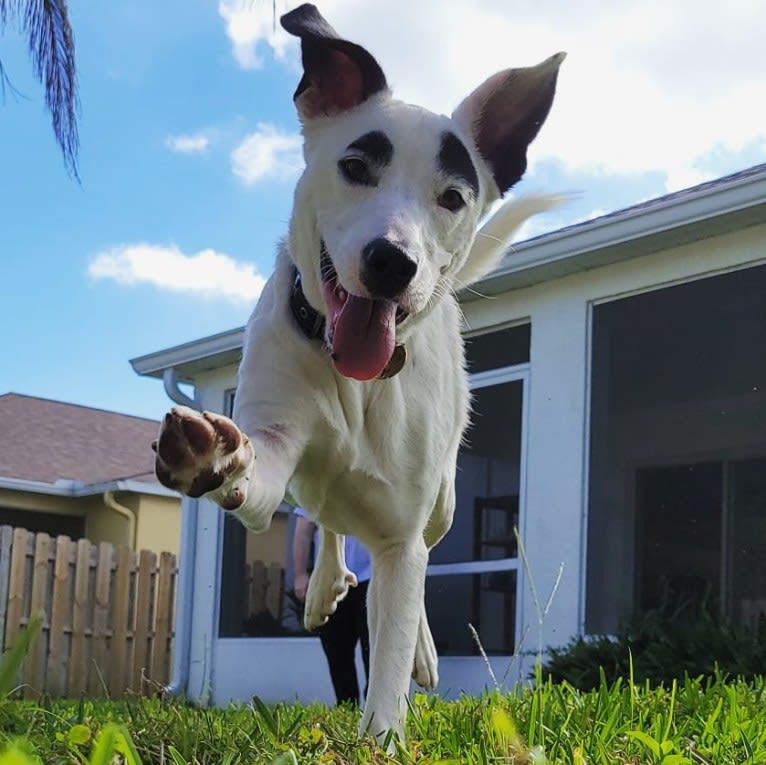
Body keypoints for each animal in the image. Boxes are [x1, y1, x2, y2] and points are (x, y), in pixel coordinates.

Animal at [154, 4, 564, 748]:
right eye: (354, 166)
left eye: (453, 197)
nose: (392, 261)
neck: (358, 378)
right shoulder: (276, 439)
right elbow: (254, 476)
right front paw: (212, 456)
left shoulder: (405, 530)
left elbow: (394, 633)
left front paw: (385, 729)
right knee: (326, 520)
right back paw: (323, 585)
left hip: (444, 501)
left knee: (412, 564)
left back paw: (421, 647)